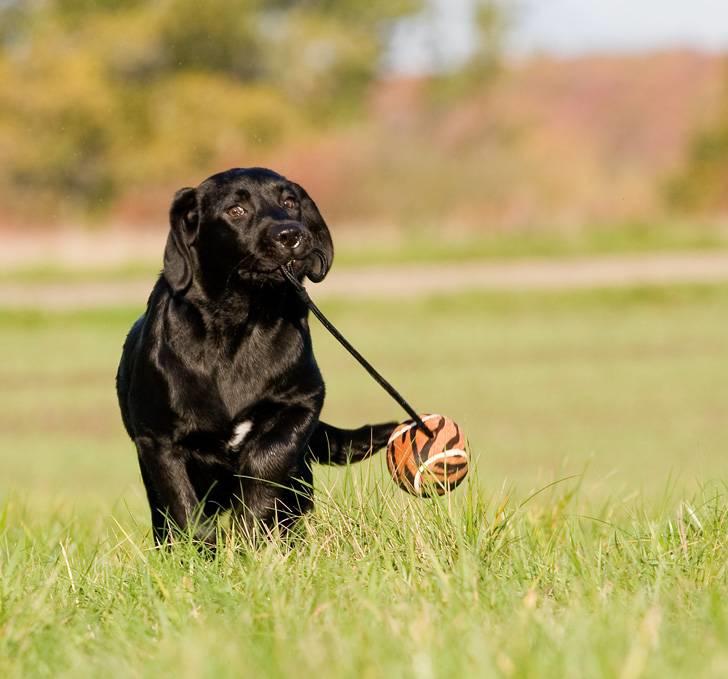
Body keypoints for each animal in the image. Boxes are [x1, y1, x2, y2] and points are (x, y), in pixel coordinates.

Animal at [116, 170, 396, 548]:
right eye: (236, 210)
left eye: (289, 202)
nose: (291, 235)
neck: (238, 323)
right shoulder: (159, 441)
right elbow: (186, 510)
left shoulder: (301, 402)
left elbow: (267, 465)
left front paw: (252, 538)